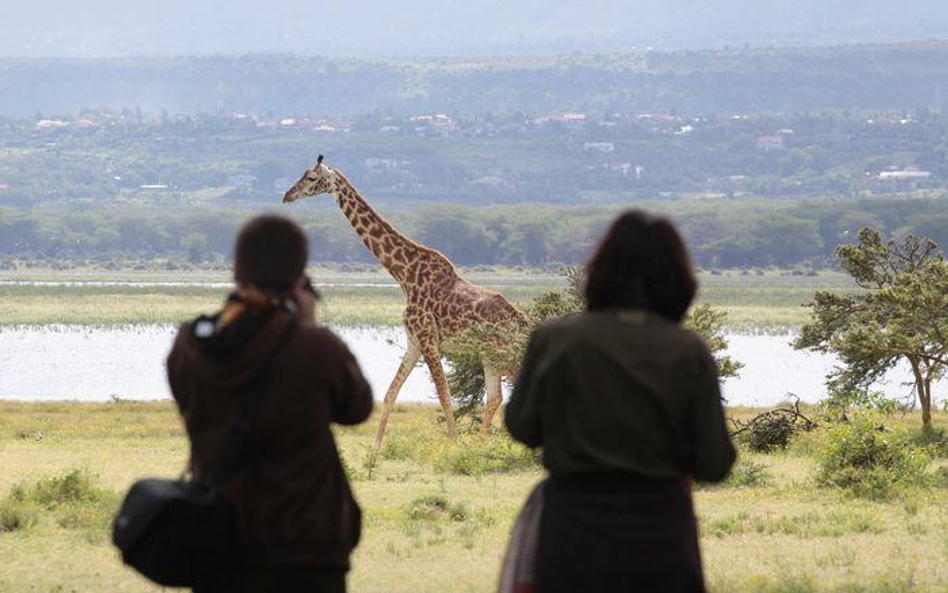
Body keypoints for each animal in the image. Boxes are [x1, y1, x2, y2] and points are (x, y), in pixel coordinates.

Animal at [282, 155, 532, 450]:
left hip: (501, 351)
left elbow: (444, 395)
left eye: (311, 178)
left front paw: (452, 445)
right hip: (489, 353)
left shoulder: (427, 338)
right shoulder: (413, 341)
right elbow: (391, 393)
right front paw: (375, 451)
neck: (404, 274)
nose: (288, 195)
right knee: (494, 397)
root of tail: (520, 319)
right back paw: (482, 446)